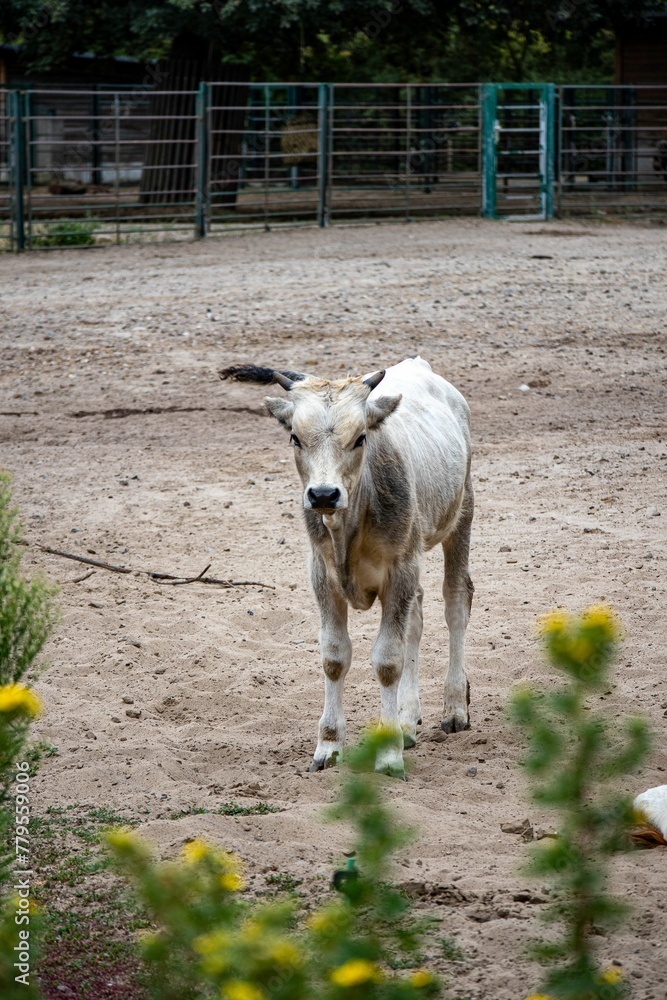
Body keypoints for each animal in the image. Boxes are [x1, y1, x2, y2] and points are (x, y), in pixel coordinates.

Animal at [219, 357, 474, 778]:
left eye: (360, 438)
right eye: (295, 438)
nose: (323, 494)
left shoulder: (400, 569)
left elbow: (388, 659)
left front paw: (388, 756)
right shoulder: (323, 576)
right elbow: (335, 657)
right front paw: (328, 746)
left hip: (462, 512)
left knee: (456, 602)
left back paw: (454, 708)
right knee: (417, 617)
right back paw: (407, 720)